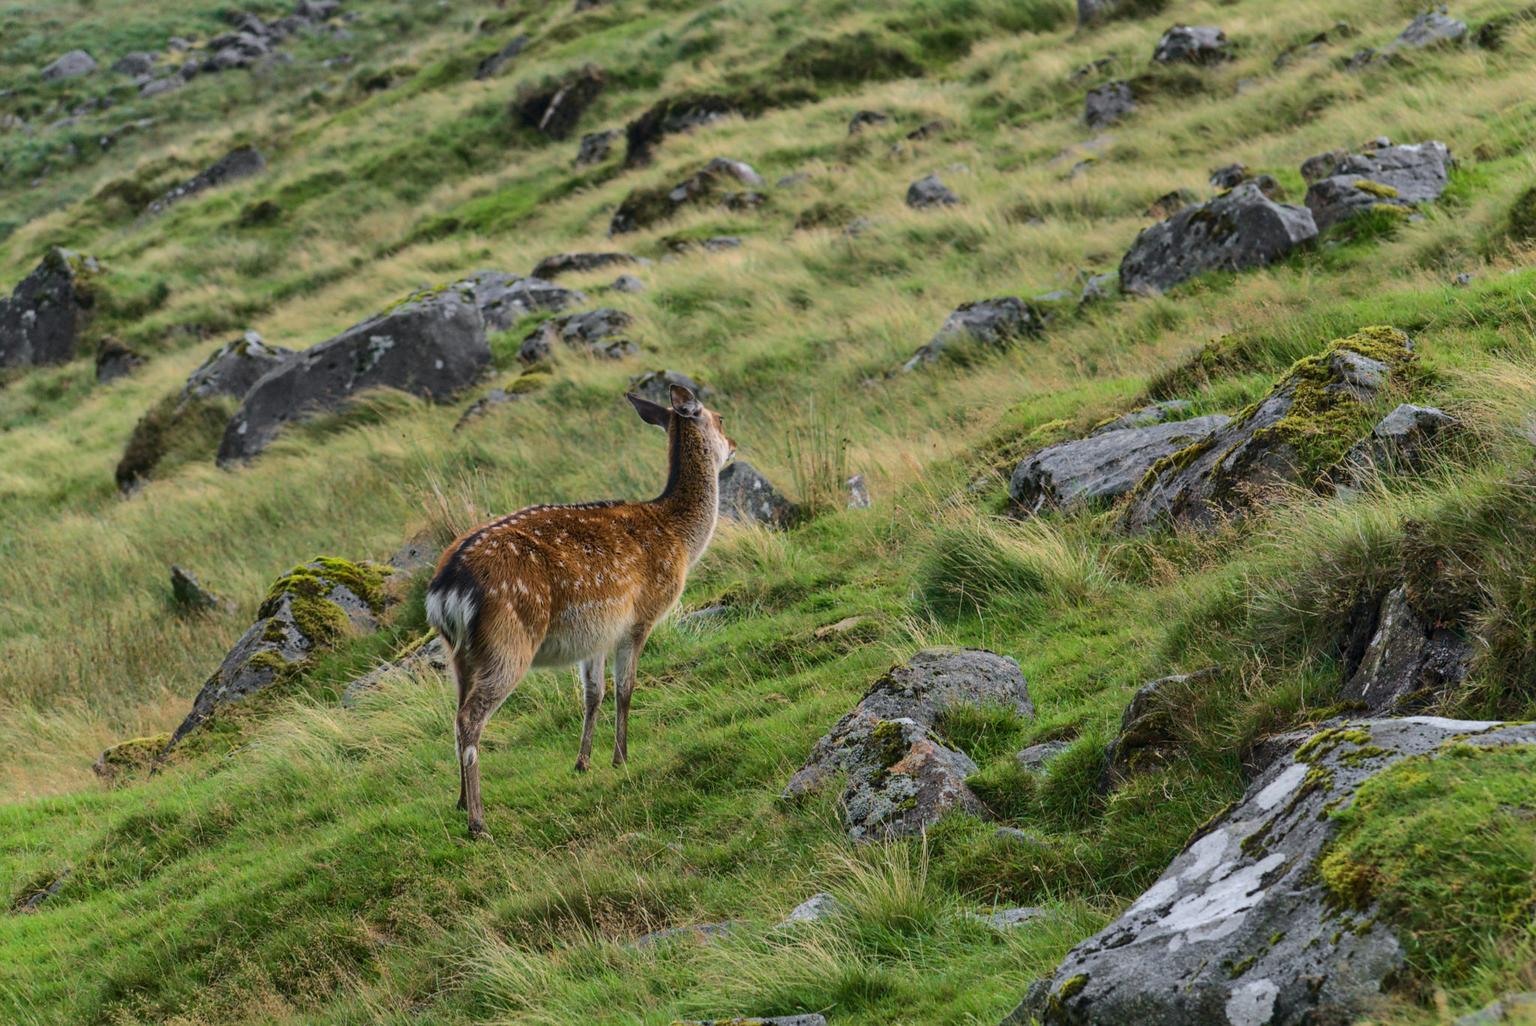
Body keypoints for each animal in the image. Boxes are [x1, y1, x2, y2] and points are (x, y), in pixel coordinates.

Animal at [425, 385, 735, 839]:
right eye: (719, 418)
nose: (734, 445)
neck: (679, 539)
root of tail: (445, 587)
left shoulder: (596, 634)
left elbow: (593, 694)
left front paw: (583, 762)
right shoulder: (640, 618)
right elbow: (626, 688)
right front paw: (621, 756)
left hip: (458, 653)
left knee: (456, 714)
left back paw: (461, 800)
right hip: (508, 642)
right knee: (470, 718)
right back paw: (478, 822)